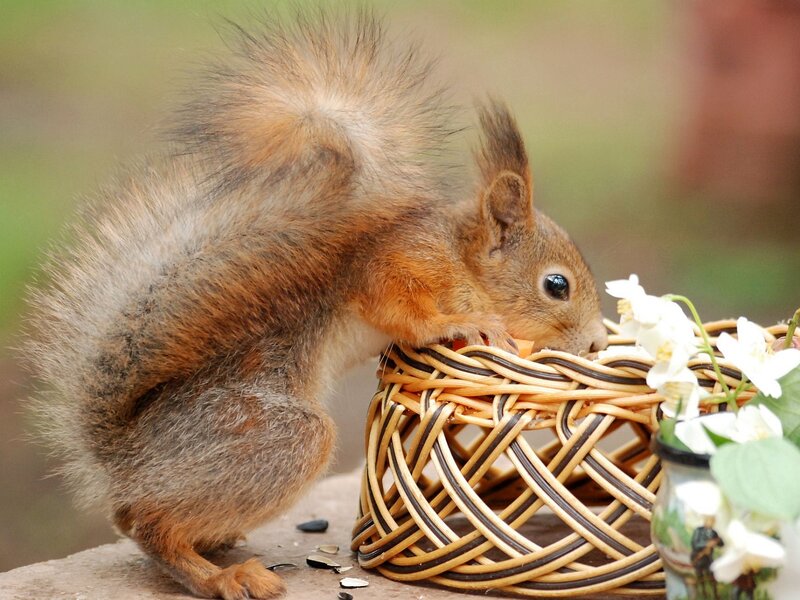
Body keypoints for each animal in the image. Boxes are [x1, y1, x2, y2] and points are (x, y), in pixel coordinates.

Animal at [23, 11, 608, 600]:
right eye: (557, 285)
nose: (597, 341)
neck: (460, 259)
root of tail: (122, 460)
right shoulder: (398, 264)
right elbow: (400, 308)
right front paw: (465, 323)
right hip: (274, 437)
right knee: (147, 524)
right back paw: (224, 576)